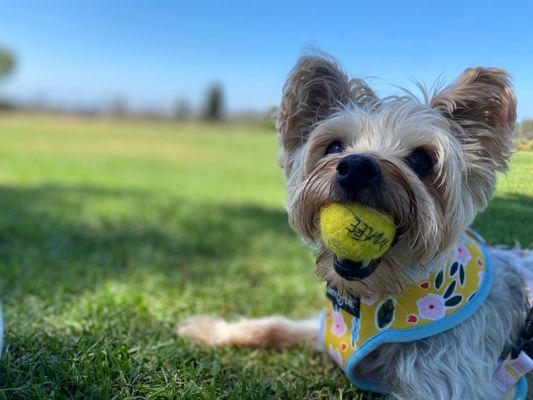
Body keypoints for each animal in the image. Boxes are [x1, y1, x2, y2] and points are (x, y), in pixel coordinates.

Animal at [179, 54, 532, 398]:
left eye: (421, 160)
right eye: (334, 147)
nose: (358, 167)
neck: (377, 294)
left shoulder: (452, 381)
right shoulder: (325, 330)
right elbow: (275, 326)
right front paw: (210, 329)